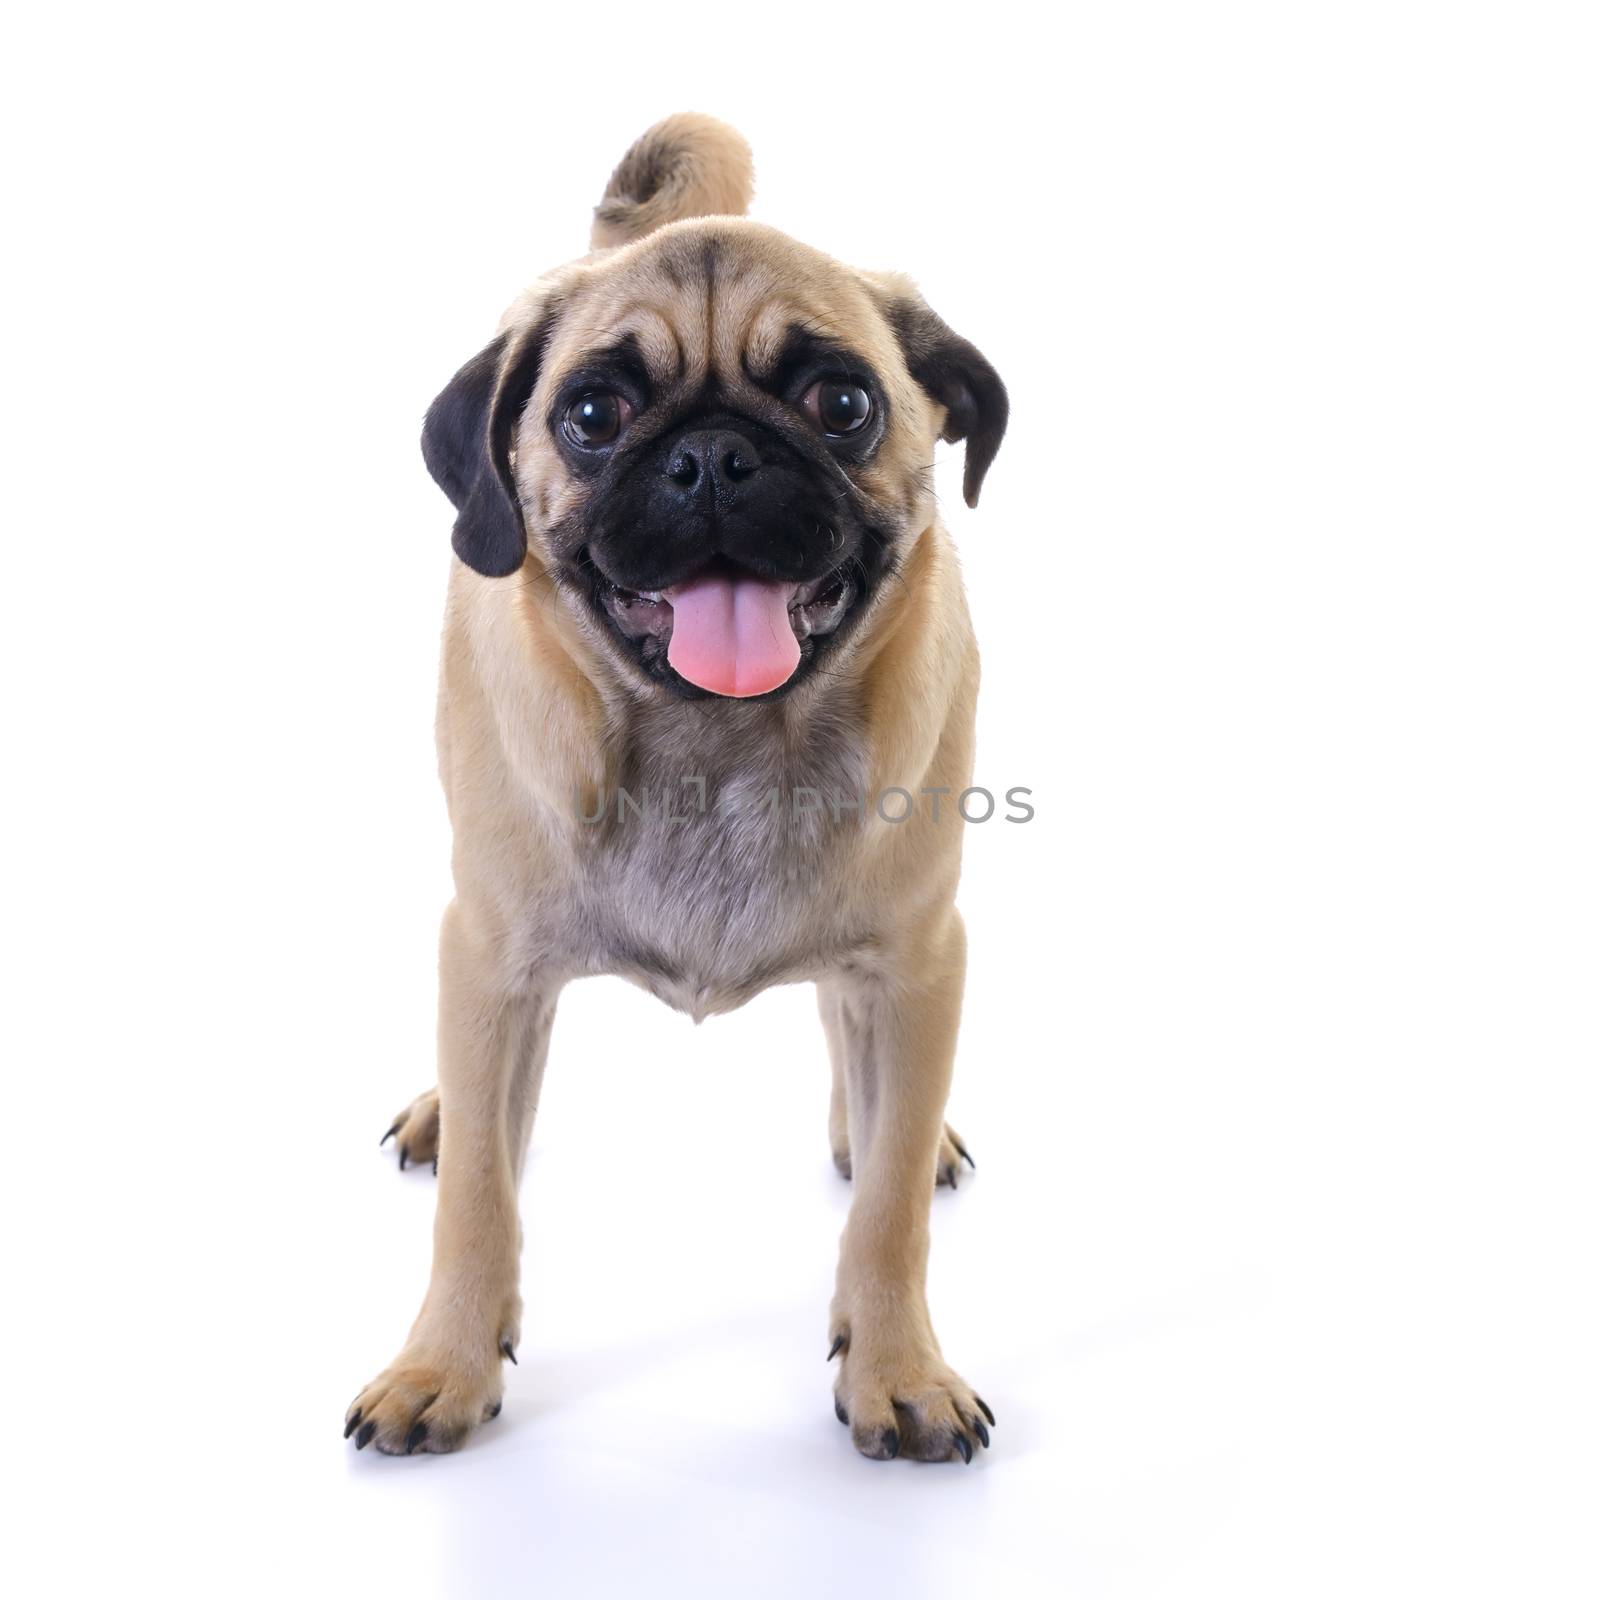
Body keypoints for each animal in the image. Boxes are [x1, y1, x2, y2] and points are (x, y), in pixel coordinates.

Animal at [344, 112, 1004, 1465]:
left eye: (842, 402)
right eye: (594, 412)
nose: (712, 456)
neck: (720, 748)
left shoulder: (921, 955)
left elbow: (888, 1211)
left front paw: (898, 1364)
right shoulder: (492, 957)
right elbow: (480, 1198)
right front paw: (444, 1362)